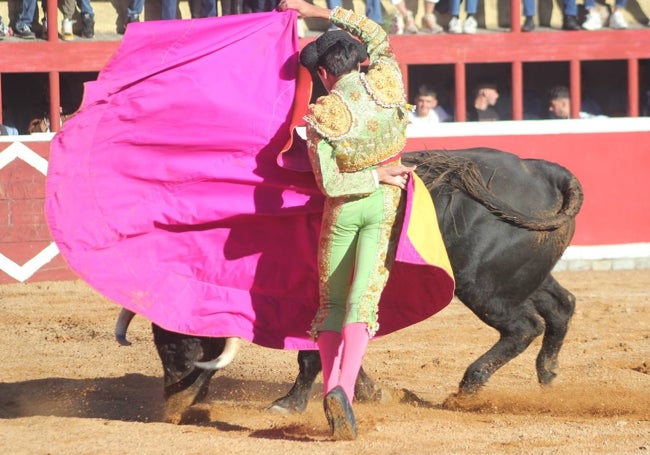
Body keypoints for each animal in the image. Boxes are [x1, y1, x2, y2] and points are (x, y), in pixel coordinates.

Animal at [148, 150, 584, 424]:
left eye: (179, 343)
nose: (172, 410)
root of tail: (545, 172)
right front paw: (373, 393)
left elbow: (311, 356)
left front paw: (288, 404)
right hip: (520, 277)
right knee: (561, 305)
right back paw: (548, 377)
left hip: (483, 285)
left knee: (524, 326)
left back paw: (468, 388)